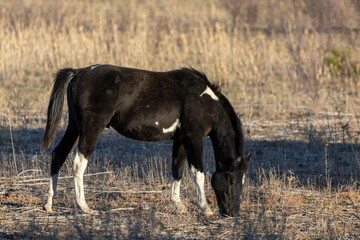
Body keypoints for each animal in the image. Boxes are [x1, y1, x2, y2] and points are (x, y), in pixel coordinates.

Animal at [40, 64, 250, 217]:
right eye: (232, 180)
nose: (232, 212)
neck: (205, 102)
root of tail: (80, 72)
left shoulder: (181, 140)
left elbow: (177, 170)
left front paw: (178, 205)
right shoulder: (194, 139)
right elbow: (198, 173)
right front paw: (205, 208)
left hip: (74, 127)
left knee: (58, 155)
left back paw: (49, 204)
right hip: (91, 129)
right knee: (78, 163)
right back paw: (84, 206)